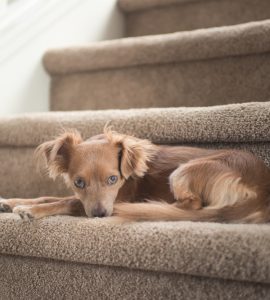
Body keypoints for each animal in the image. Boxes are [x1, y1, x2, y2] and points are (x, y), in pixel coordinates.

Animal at [0, 127, 270, 224]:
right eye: (79, 182)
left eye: (113, 180)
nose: (99, 215)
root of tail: (262, 188)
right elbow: (48, 196)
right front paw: (9, 201)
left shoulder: (114, 200)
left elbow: (63, 202)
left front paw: (29, 210)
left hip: (184, 171)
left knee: (193, 205)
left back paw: (155, 207)